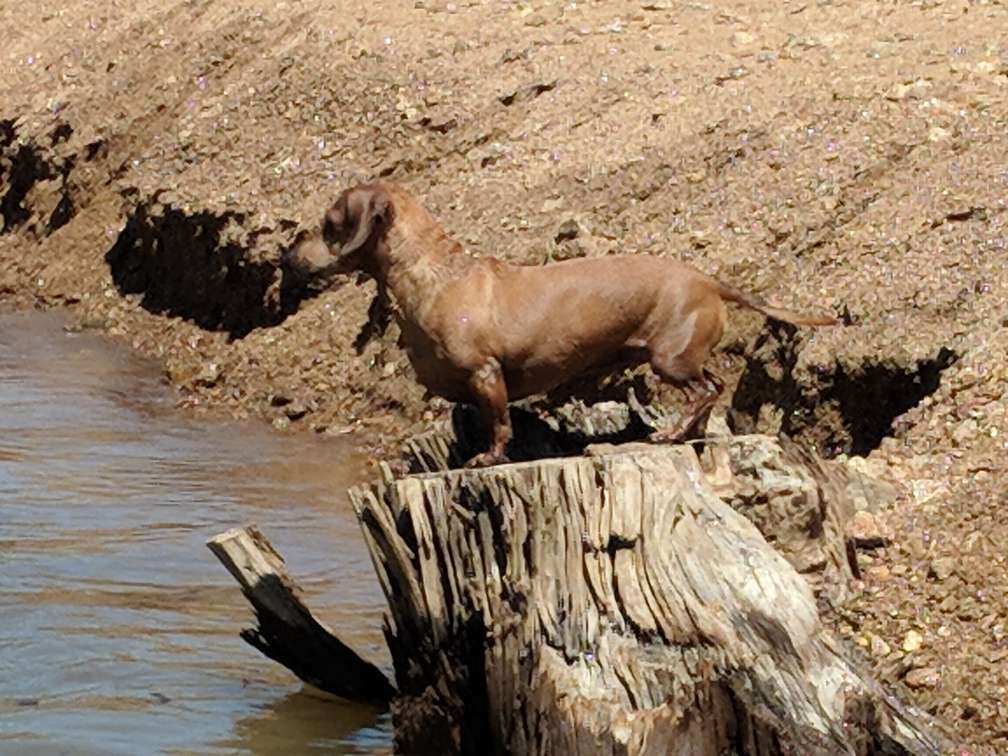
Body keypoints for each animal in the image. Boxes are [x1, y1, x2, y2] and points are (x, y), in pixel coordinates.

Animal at [284, 183, 834, 467]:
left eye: (329, 224)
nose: (288, 255)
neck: (436, 272)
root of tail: (709, 280)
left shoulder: (486, 373)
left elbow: (499, 423)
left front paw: (488, 458)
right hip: (681, 356)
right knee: (713, 385)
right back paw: (687, 433)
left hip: (669, 358)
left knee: (705, 390)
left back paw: (672, 433)